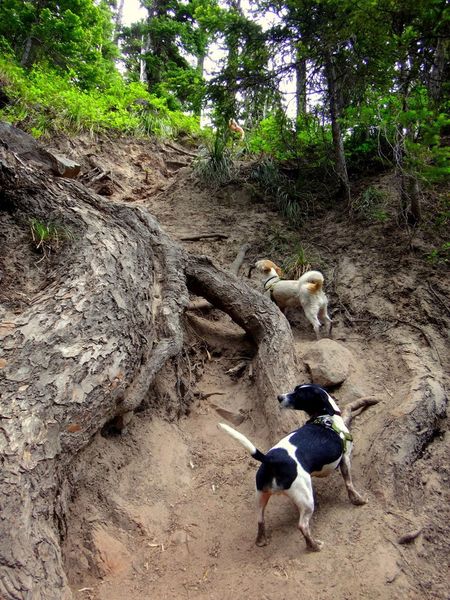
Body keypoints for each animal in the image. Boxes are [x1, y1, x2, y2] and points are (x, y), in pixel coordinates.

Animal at [219, 386, 372, 552]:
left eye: (298, 393)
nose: (279, 397)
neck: (326, 417)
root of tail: (271, 460)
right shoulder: (345, 459)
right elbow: (349, 484)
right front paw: (358, 500)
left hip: (261, 496)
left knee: (260, 519)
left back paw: (261, 540)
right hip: (307, 501)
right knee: (302, 526)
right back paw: (314, 545)